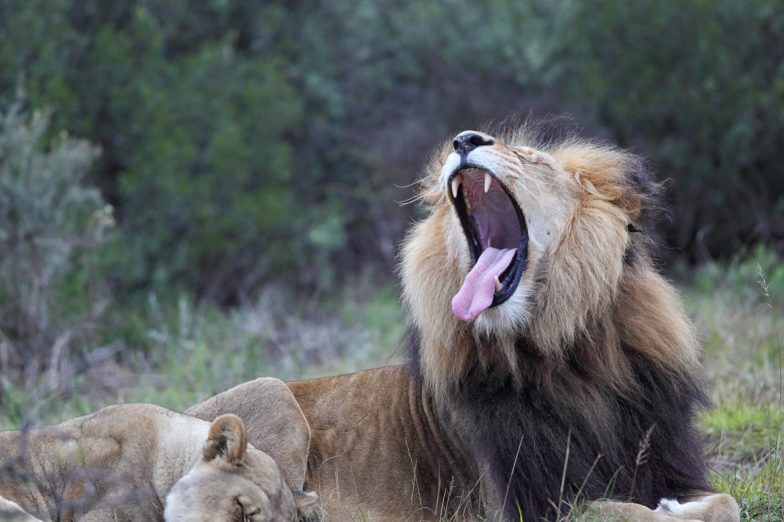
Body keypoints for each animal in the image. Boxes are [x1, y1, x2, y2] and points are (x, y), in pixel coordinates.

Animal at [187, 128, 740, 516]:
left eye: (532, 159)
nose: (464, 139)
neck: (564, 353)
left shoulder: (666, 463)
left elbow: (724, 503)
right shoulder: (531, 503)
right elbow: (624, 511)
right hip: (270, 391)